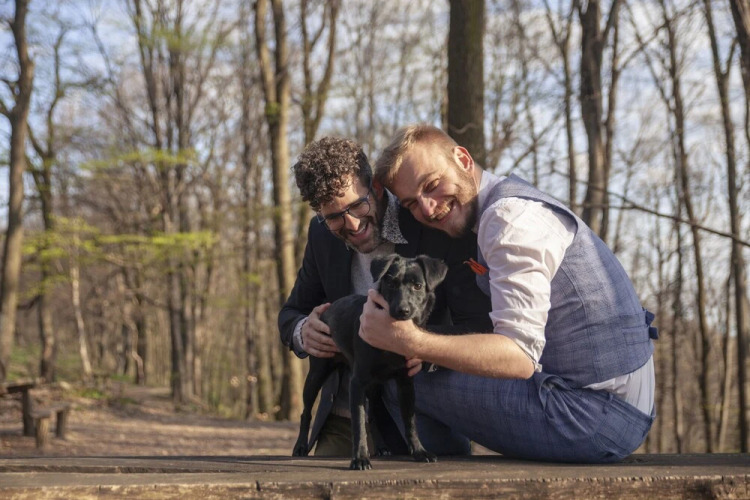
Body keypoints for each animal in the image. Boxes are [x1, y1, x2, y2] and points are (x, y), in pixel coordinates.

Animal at [292, 254, 448, 470]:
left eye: (418, 286)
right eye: (390, 283)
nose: (402, 310)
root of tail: (328, 309)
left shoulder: (406, 383)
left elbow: (410, 421)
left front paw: (419, 451)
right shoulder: (357, 383)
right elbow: (358, 423)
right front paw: (360, 458)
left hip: (375, 388)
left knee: (373, 415)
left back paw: (382, 447)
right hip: (317, 374)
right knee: (306, 413)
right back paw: (300, 446)